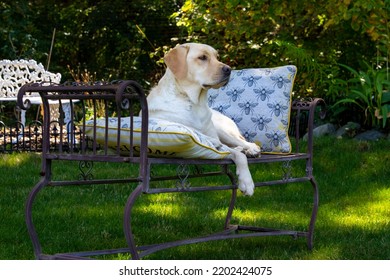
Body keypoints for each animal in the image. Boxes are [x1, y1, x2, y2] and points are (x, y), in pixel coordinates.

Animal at [148, 42, 260, 195]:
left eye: (217, 57)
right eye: (202, 57)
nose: (228, 69)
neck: (194, 102)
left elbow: (240, 156)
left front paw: (246, 182)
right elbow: (235, 153)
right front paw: (246, 182)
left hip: (222, 131)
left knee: (241, 141)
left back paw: (251, 149)